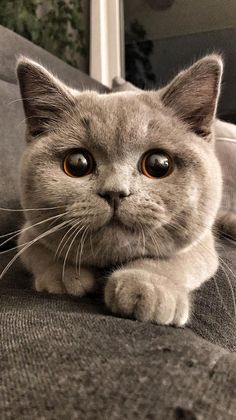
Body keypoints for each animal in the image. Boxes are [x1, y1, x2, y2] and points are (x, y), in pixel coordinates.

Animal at [16, 54, 223, 326]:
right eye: (77, 163)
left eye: (158, 164)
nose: (115, 192)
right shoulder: (28, 232)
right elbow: (40, 250)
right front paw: (63, 275)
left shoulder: (203, 240)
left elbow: (177, 259)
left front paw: (148, 288)